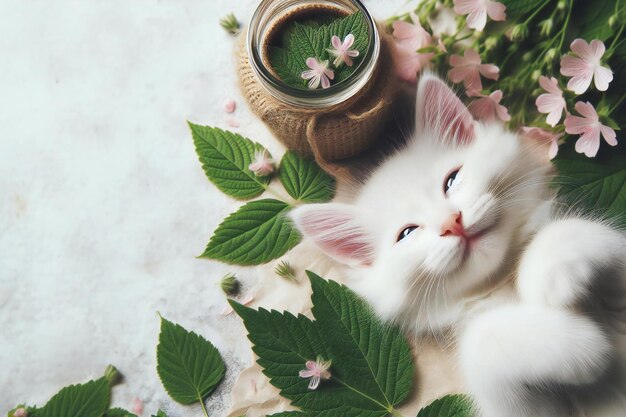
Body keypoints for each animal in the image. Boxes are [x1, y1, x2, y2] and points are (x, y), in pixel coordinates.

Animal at [288, 74, 624, 416]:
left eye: (451, 181)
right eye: (407, 233)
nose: (452, 222)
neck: (502, 280)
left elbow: (566, 232)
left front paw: (549, 280)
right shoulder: (517, 408)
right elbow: (481, 337)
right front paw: (585, 347)